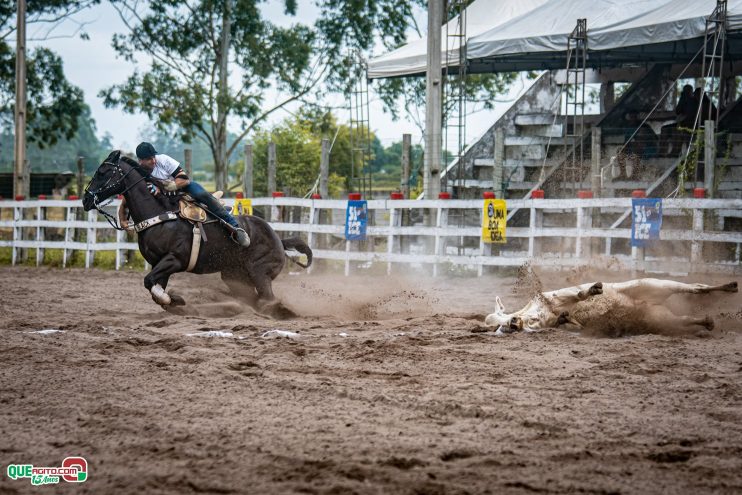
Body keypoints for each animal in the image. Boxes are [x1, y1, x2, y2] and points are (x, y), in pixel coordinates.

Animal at [83, 150, 312, 318]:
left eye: (102, 172)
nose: (85, 200)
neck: (160, 214)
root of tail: (278, 239)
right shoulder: (159, 264)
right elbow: (155, 289)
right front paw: (175, 302)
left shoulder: (174, 259)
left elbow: (149, 282)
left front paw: (177, 300)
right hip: (234, 276)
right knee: (253, 298)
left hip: (260, 272)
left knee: (267, 300)